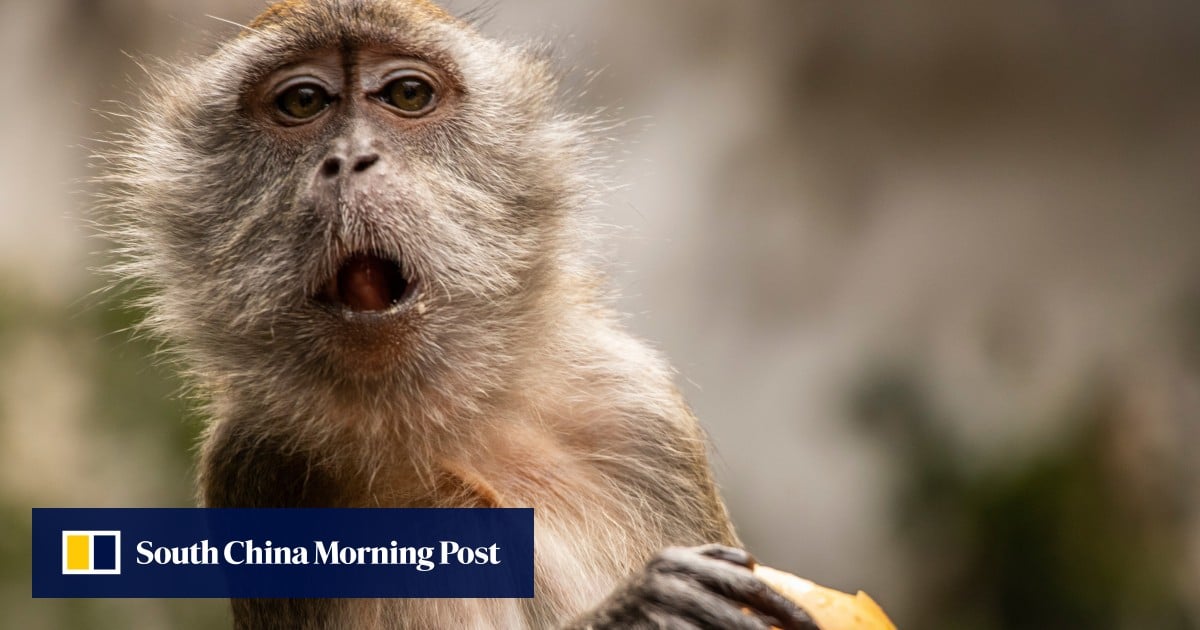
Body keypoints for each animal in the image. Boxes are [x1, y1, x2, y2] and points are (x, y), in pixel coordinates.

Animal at [99, 1, 819, 628]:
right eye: (302, 103)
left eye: (407, 94)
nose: (348, 160)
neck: (439, 425)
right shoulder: (257, 465)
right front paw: (638, 611)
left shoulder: (635, 409)